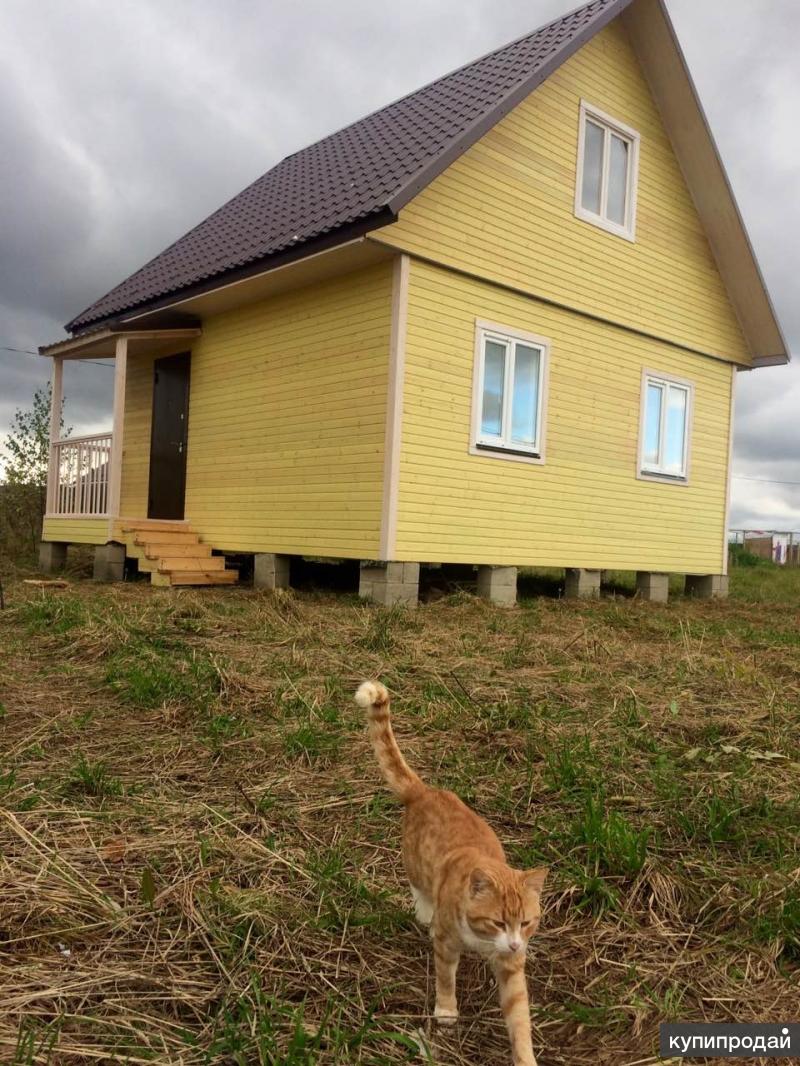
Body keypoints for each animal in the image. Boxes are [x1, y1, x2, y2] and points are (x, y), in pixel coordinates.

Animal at [356, 682, 550, 1066]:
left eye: (526, 922)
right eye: (497, 922)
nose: (515, 943)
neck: (482, 941)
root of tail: (425, 791)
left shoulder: (511, 965)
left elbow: (519, 1019)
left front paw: (525, 1057)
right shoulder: (446, 946)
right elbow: (445, 980)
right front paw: (446, 1012)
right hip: (415, 865)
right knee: (418, 886)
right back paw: (424, 912)